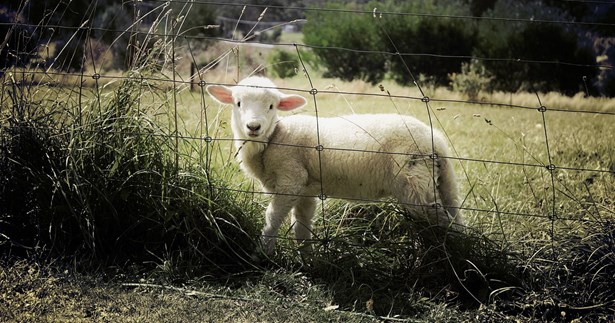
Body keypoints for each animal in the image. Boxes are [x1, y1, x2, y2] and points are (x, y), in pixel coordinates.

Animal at [206, 76, 462, 256]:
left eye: (271, 106)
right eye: (238, 103)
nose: (253, 127)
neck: (272, 139)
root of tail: (436, 141)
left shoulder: (290, 179)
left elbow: (273, 218)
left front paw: (262, 254)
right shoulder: (305, 190)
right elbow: (301, 226)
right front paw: (307, 259)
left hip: (414, 184)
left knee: (442, 221)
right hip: (438, 182)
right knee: (453, 216)